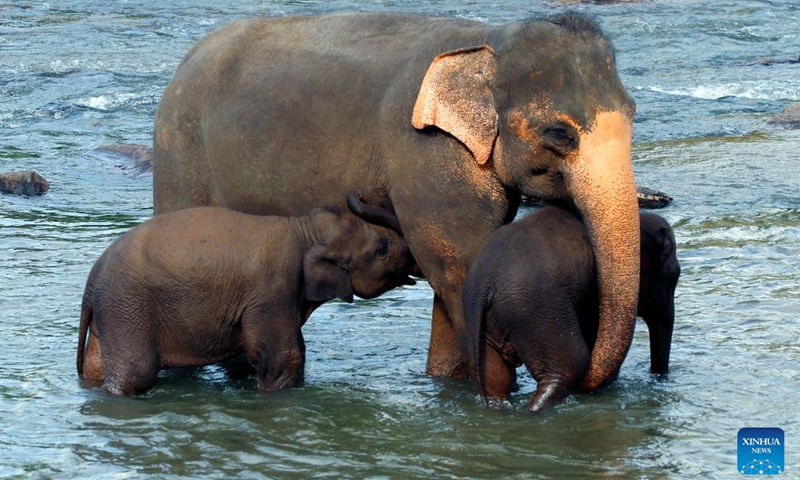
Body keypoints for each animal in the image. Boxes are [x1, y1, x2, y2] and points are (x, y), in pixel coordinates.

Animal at [76, 191, 418, 398]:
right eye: (381, 248)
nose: (359, 192)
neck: (302, 230)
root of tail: (92, 279)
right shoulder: (271, 291)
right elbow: (283, 358)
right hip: (128, 308)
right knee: (136, 373)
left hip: (113, 312)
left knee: (95, 367)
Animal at [153, 13, 640, 392]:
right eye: (560, 133)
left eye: (634, 114)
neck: (490, 40)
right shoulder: (424, 151)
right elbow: (461, 267)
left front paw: (446, 384)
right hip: (179, 158)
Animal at [462, 204, 680, 410]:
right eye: (673, 278)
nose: (658, 377)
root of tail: (486, 283)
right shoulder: (596, 297)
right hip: (537, 313)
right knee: (569, 366)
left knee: (495, 378)